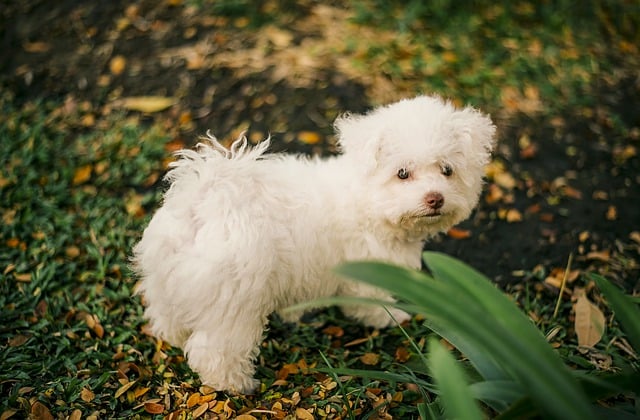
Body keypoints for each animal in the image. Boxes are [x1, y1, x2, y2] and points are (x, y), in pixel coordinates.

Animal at [132, 95, 498, 394]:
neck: (368, 202)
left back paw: (171, 336)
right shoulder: (366, 272)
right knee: (215, 349)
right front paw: (389, 317)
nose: (435, 198)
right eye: (403, 173)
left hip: (167, 281)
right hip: (233, 302)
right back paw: (236, 385)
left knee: (166, 314)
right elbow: (371, 303)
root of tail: (203, 200)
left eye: (447, 170)